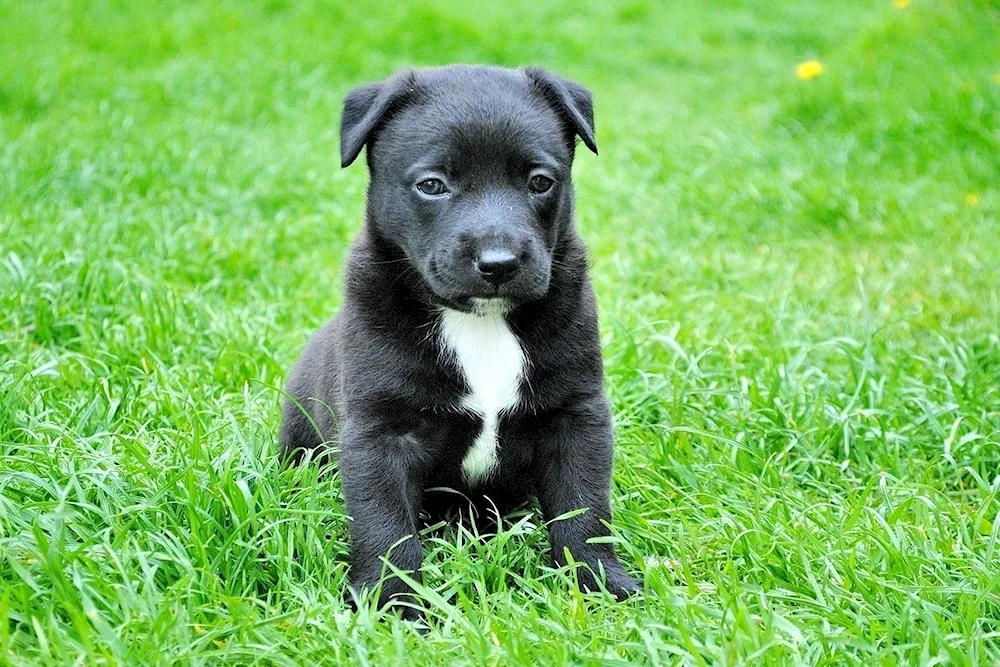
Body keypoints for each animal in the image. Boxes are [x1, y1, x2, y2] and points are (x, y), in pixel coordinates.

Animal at [282, 65, 640, 612]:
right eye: (432, 185)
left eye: (540, 182)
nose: (498, 262)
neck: (480, 321)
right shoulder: (380, 429)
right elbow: (385, 525)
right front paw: (393, 604)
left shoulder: (575, 414)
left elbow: (584, 508)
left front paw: (600, 582)